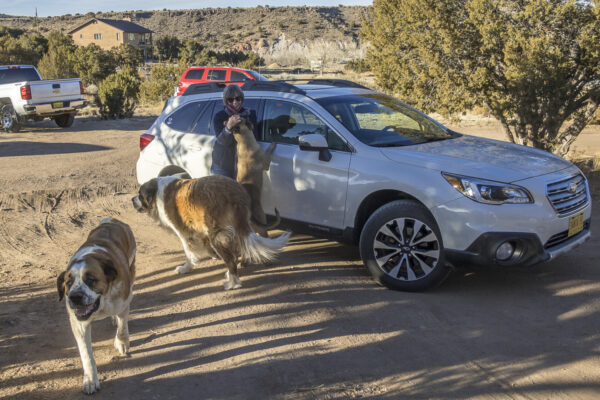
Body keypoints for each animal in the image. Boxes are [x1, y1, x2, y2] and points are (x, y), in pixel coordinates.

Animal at [56, 217, 136, 396]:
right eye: (68, 283)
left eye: (91, 280)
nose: (75, 297)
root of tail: (112, 220)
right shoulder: (79, 324)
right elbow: (86, 353)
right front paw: (90, 380)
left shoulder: (123, 300)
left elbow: (123, 325)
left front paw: (121, 342)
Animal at [131, 177, 290, 290]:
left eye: (140, 195)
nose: (132, 199)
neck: (157, 193)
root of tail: (235, 193)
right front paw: (213, 256)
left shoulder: (184, 232)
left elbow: (188, 252)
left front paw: (186, 268)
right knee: (236, 250)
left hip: (216, 233)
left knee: (230, 259)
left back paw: (233, 283)